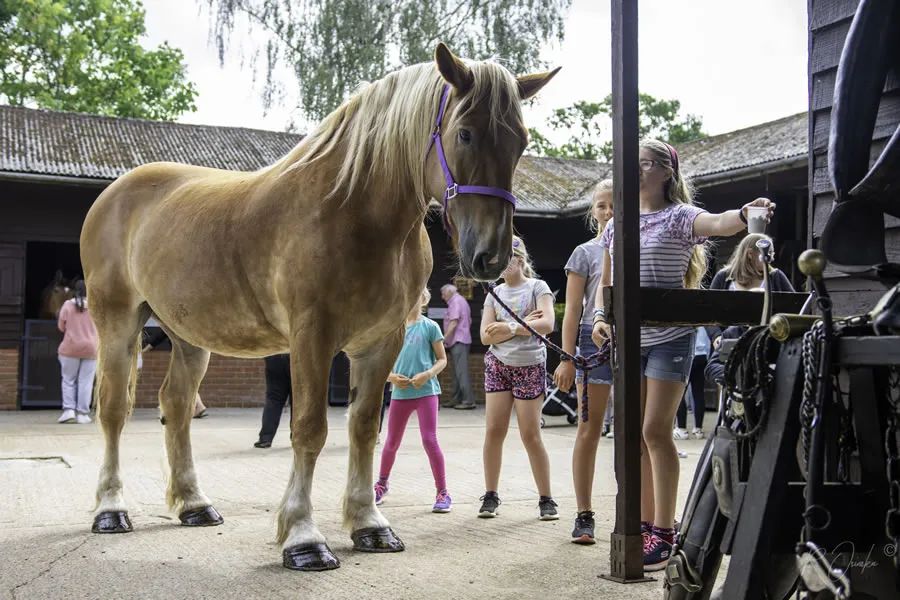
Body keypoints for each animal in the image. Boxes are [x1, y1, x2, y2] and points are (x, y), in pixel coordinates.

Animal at [79, 42, 559, 571]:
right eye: (465, 133)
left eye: (520, 141)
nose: (490, 256)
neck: (355, 212)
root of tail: (114, 193)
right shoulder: (312, 336)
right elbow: (309, 429)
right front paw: (303, 537)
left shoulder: (381, 342)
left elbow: (365, 428)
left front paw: (369, 524)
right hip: (117, 322)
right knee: (114, 410)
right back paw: (110, 508)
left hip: (188, 335)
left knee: (177, 405)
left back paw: (194, 504)